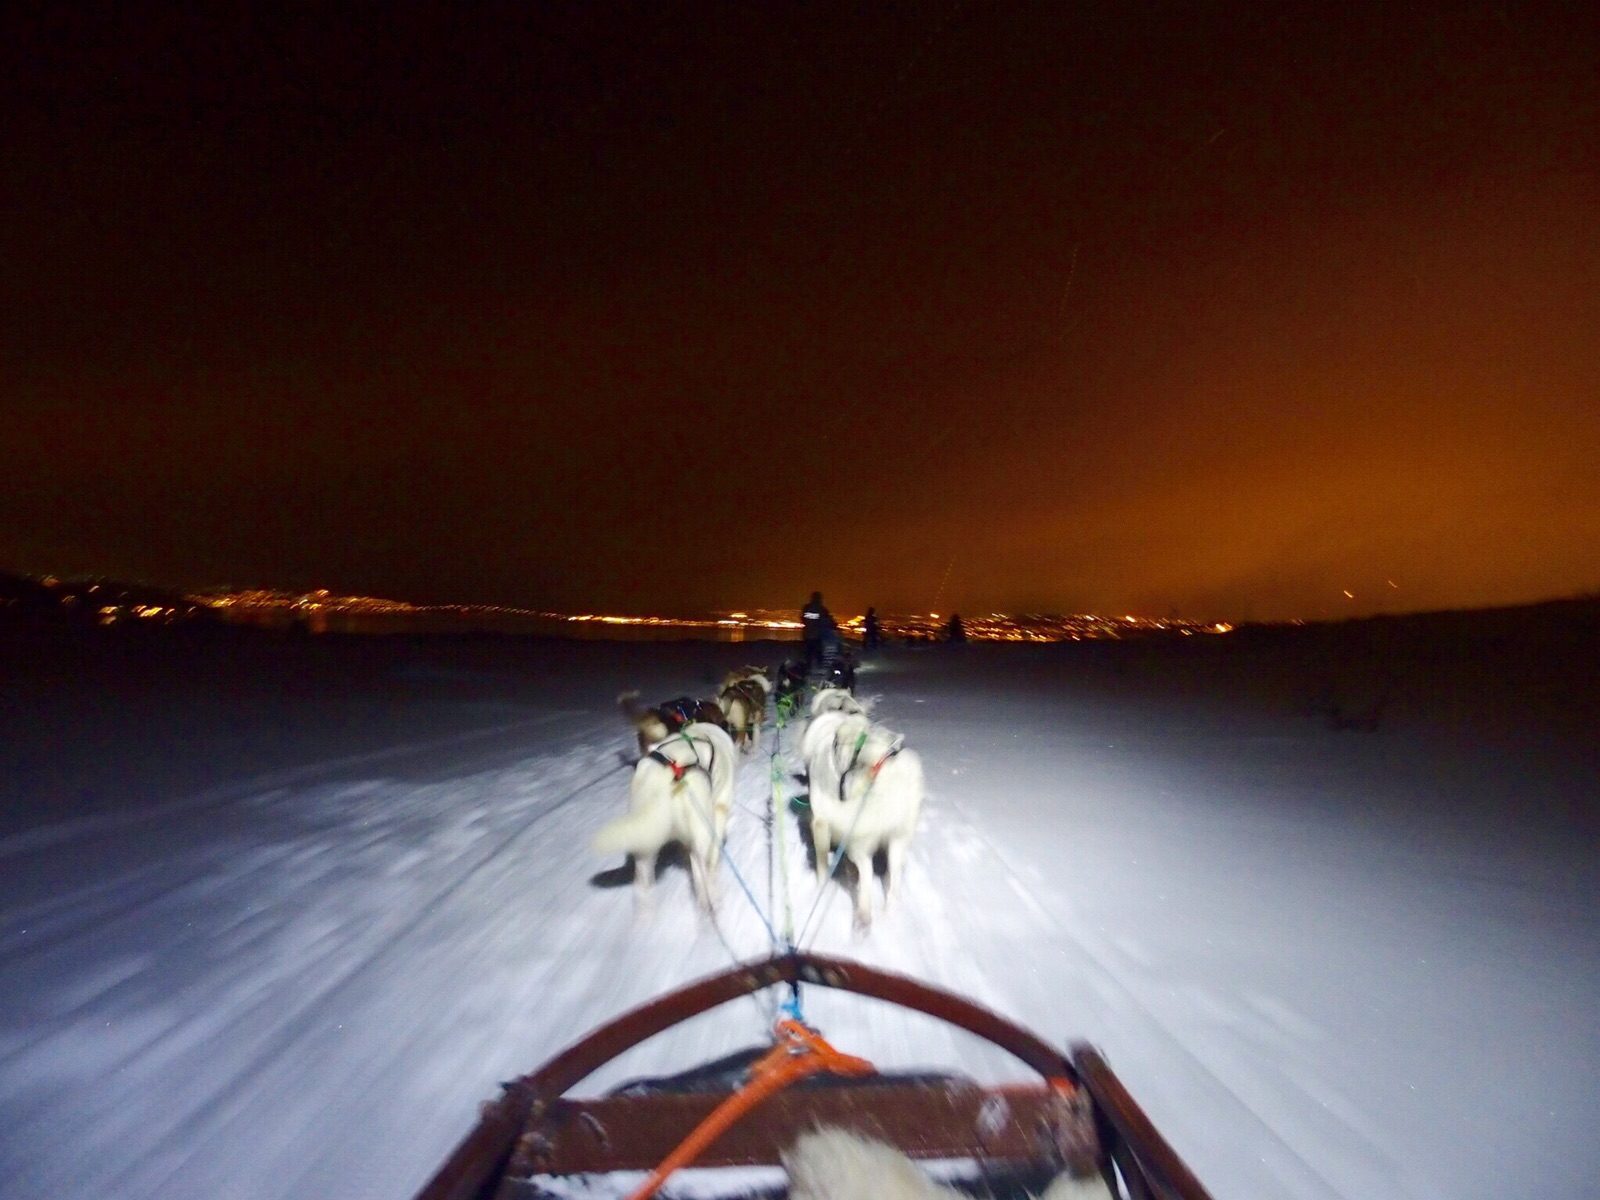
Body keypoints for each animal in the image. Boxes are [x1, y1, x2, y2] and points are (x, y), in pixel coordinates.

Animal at [590, 722, 737, 910]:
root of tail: (662, 781)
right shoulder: (720, 807)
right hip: (701, 834)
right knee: (702, 874)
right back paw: (711, 899)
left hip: (646, 847)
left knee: (642, 887)